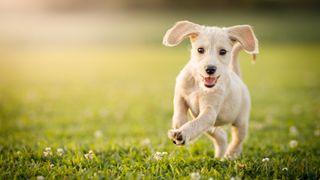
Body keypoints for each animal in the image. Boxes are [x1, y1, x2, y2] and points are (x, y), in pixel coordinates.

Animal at [164, 21, 258, 158]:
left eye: (223, 51)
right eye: (200, 50)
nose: (210, 69)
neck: (199, 84)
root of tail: (237, 76)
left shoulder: (209, 111)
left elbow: (195, 123)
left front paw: (182, 133)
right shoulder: (180, 96)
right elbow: (179, 114)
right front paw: (179, 128)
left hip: (240, 121)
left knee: (237, 139)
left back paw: (231, 154)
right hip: (211, 127)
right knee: (221, 136)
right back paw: (219, 156)